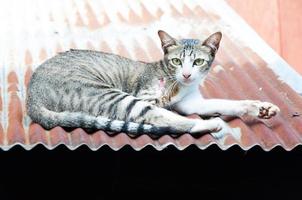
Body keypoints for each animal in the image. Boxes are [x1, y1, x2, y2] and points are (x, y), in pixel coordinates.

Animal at [26, 30, 280, 138]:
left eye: (198, 62)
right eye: (177, 61)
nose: (186, 74)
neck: (181, 86)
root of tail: (31, 97)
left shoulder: (191, 103)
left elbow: (225, 102)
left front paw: (260, 108)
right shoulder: (149, 97)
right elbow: (163, 109)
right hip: (114, 96)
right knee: (164, 118)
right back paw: (208, 124)